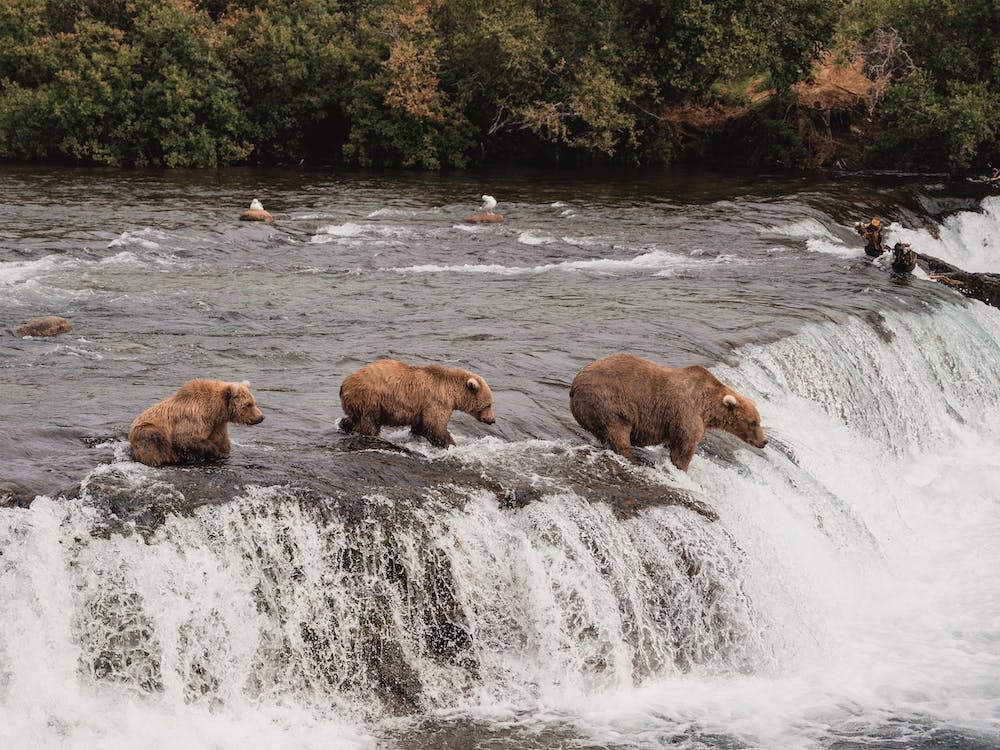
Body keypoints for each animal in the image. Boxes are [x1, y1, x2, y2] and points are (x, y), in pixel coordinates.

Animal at [129, 379, 264, 467]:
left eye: (254, 402)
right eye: (248, 404)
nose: (261, 417)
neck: (215, 410)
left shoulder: (217, 424)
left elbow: (222, 441)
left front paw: (222, 453)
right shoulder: (192, 418)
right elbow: (185, 438)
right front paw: (213, 451)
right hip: (147, 430)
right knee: (153, 441)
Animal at [339, 358, 495, 448]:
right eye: (488, 404)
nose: (492, 420)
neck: (452, 393)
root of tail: (345, 383)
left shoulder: (422, 408)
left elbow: (421, 426)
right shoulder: (436, 401)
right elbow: (435, 426)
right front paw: (451, 444)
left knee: (354, 418)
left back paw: (344, 425)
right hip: (370, 400)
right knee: (369, 423)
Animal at [569, 353, 767, 471]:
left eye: (758, 421)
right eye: (753, 422)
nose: (763, 442)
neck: (708, 408)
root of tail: (574, 384)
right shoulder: (687, 413)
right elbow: (684, 448)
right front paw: (681, 468)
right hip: (608, 401)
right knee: (618, 432)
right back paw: (633, 458)